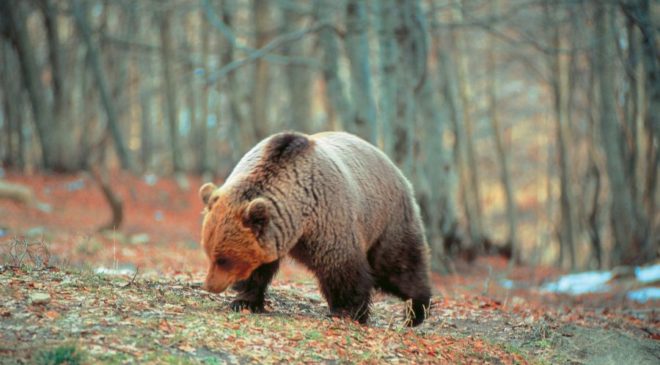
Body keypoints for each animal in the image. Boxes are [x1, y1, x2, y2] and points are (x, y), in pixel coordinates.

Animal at [199, 131, 430, 324]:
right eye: (210, 254)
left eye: (224, 259)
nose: (210, 286)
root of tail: (393, 166)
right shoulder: (273, 235)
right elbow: (258, 270)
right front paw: (244, 301)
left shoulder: (329, 219)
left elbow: (342, 268)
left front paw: (347, 311)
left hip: (387, 218)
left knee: (397, 265)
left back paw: (416, 311)